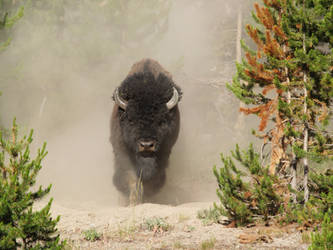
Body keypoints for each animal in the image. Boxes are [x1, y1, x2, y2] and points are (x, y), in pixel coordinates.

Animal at [109, 58, 182, 205]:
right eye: (131, 120)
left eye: (161, 121)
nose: (146, 145)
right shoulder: (122, 152)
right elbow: (131, 177)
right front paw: (134, 201)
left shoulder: (164, 152)